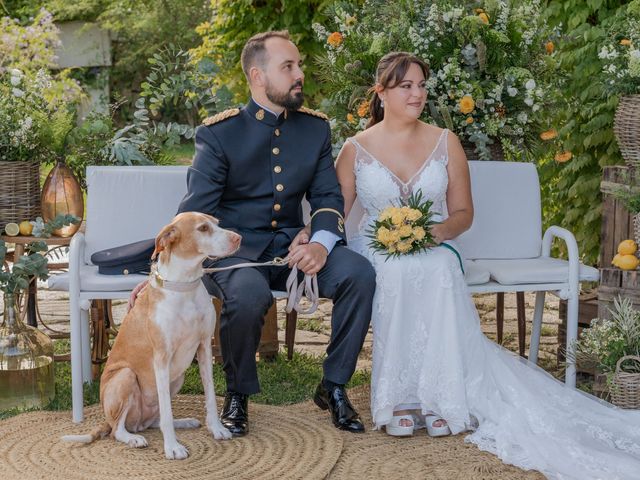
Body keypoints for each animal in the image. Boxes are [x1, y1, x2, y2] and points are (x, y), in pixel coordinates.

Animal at [61, 213, 241, 458]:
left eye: (217, 223)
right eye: (203, 228)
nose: (238, 238)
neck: (184, 285)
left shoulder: (204, 348)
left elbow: (211, 396)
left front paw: (216, 428)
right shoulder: (162, 358)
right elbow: (166, 411)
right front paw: (172, 447)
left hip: (178, 377)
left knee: (154, 420)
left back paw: (183, 421)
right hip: (126, 376)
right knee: (118, 430)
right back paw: (133, 438)